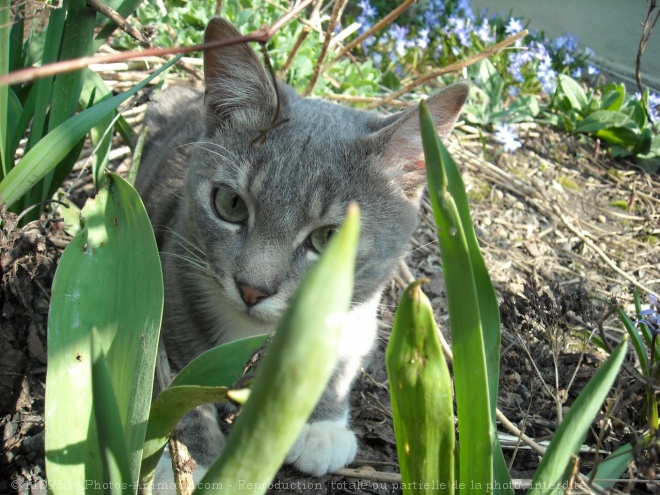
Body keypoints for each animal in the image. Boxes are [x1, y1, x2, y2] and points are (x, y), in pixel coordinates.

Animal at [138, 16, 470, 488]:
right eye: (230, 204)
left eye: (329, 239)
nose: (252, 288)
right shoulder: (166, 283)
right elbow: (176, 382)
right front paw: (190, 461)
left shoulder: (361, 311)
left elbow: (339, 354)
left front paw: (321, 425)